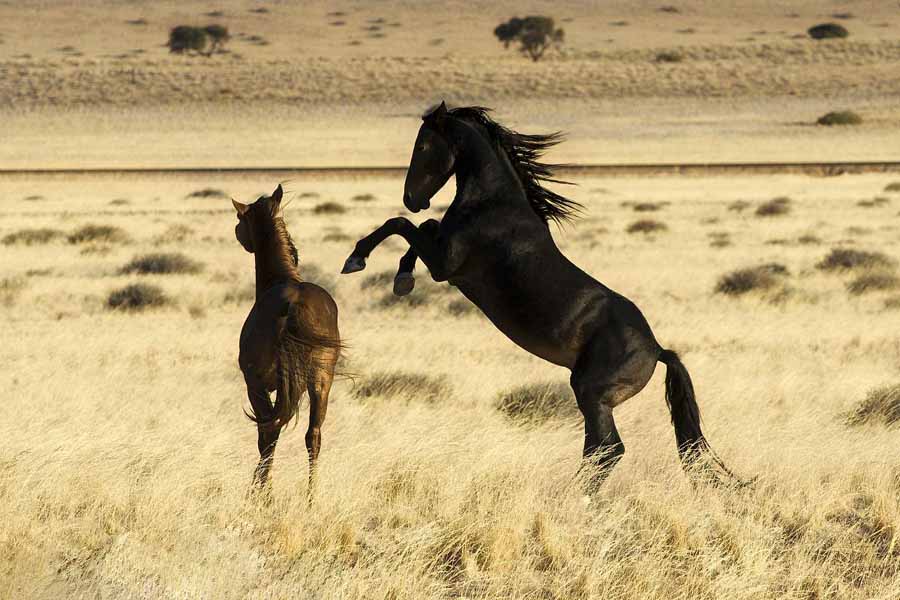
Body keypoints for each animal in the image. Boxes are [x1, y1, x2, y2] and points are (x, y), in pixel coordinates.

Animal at [233, 184, 342, 495]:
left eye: (240, 220)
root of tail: (293, 304)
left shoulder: (256, 385)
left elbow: (266, 434)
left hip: (266, 384)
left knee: (270, 432)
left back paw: (261, 492)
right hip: (321, 382)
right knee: (313, 436)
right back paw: (311, 495)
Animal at [341, 103, 737, 491]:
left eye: (422, 146)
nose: (412, 199)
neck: (492, 204)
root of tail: (657, 351)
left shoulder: (446, 265)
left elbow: (401, 225)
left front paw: (356, 259)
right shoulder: (441, 255)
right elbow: (421, 227)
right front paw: (402, 278)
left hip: (592, 394)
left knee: (608, 450)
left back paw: (573, 498)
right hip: (594, 399)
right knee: (598, 450)